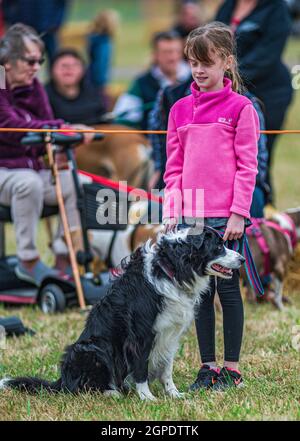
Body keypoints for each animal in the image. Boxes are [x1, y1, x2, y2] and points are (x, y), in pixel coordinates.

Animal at [0, 227, 244, 398]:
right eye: (218, 247)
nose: (242, 259)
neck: (171, 269)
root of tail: (61, 380)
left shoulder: (170, 334)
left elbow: (166, 368)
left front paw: (174, 394)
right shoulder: (141, 335)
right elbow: (141, 367)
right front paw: (147, 398)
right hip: (92, 348)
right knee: (80, 387)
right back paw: (111, 392)